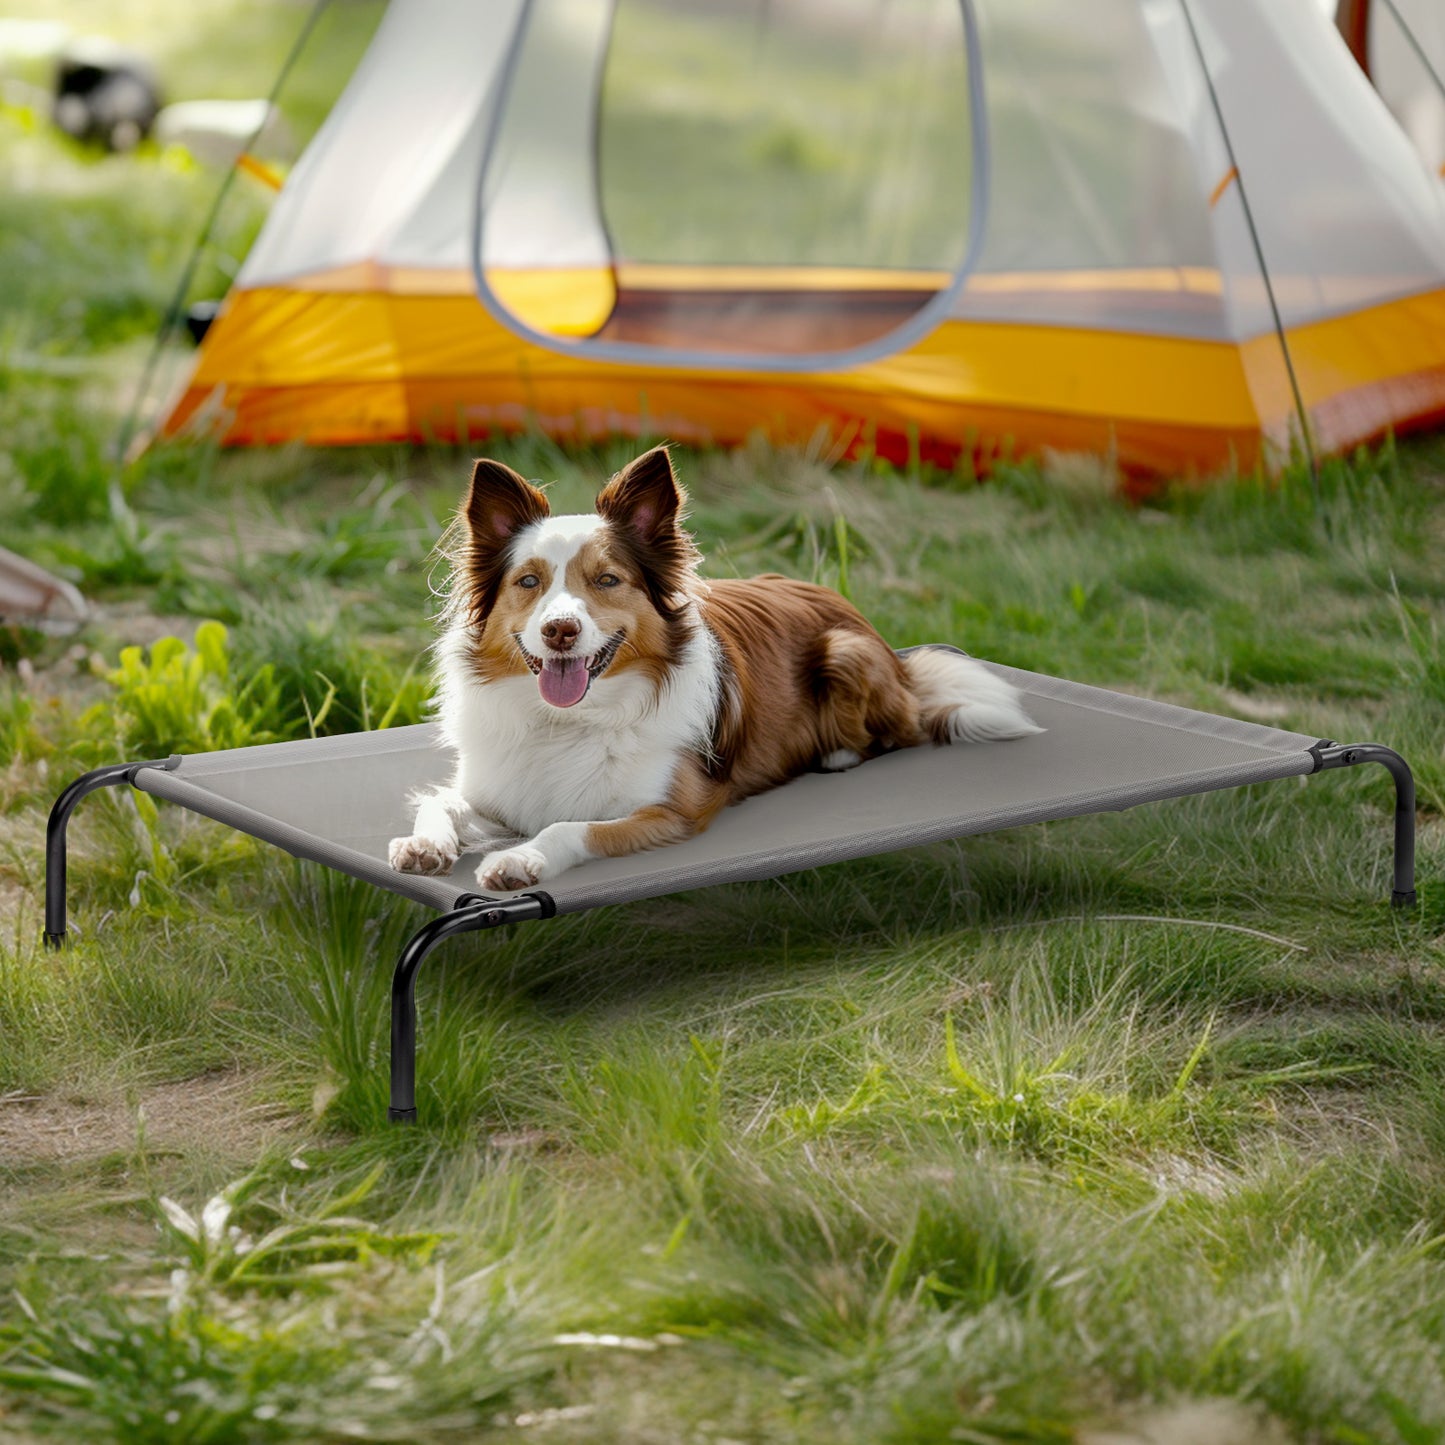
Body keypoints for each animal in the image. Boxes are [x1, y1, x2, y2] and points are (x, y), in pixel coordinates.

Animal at [384, 445, 1040, 890]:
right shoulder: (497, 791)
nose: (559, 631)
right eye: (528, 582)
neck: (570, 721)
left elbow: (571, 827)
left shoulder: (675, 810)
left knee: (903, 731)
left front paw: (519, 858)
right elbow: (440, 802)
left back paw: (837, 754)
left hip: (845, 653)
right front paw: (424, 844)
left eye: (607, 580)